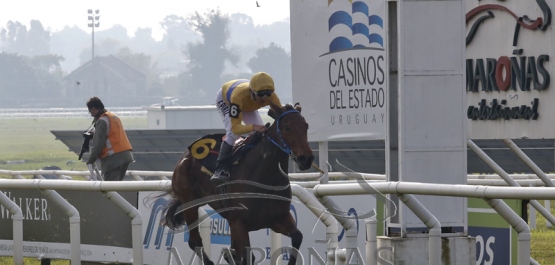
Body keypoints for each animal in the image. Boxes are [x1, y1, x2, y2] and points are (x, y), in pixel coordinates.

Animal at [163, 102, 314, 264]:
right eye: (286, 127)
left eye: (306, 126)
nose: (306, 159)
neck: (265, 178)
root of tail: (184, 156)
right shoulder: (239, 223)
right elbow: (247, 257)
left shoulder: (278, 219)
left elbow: (297, 237)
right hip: (189, 201)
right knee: (195, 241)